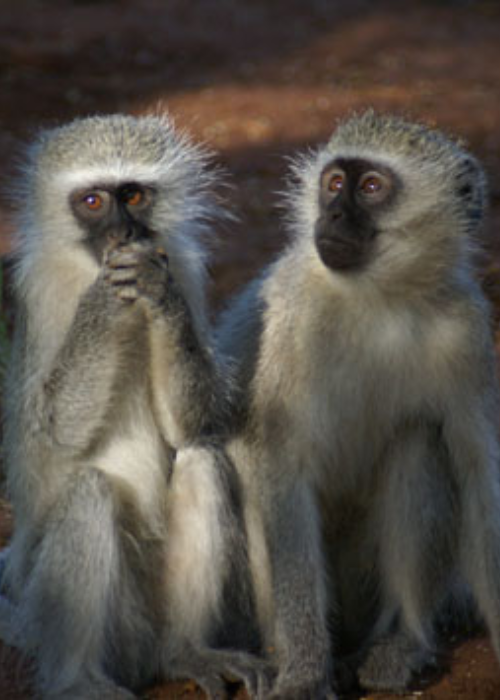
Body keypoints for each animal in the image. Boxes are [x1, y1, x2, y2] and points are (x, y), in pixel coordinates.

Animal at [0, 113, 269, 699]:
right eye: (93, 201)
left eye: (135, 195)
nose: (125, 235)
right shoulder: (34, 296)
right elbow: (50, 426)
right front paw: (104, 298)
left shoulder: (185, 267)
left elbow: (193, 423)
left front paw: (156, 290)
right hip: (58, 607)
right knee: (88, 494)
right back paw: (77, 680)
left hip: (152, 608)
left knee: (203, 459)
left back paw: (187, 652)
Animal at [215, 110, 500, 694]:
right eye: (332, 184)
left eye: (370, 187)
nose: (333, 215)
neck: (379, 299)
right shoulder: (293, 320)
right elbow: (281, 464)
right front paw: (304, 676)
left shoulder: (466, 331)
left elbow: (478, 476)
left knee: (418, 440)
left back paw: (404, 642)